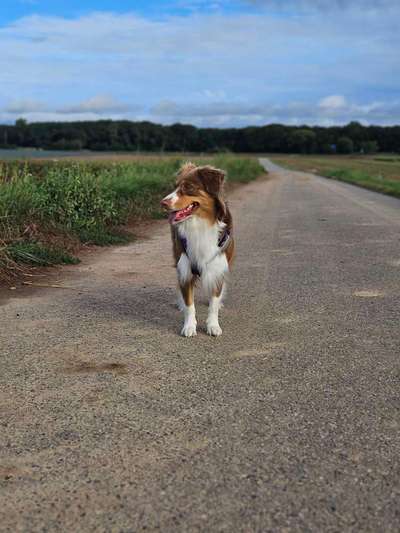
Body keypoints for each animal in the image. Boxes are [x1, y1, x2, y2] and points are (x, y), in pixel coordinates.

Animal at [160, 162, 233, 336]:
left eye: (188, 187)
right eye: (175, 186)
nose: (163, 203)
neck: (200, 224)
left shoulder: (217, 267)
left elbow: (213, 303)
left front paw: (213, 325)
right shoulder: (185, 267)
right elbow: (189, 304)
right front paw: (189, 326)